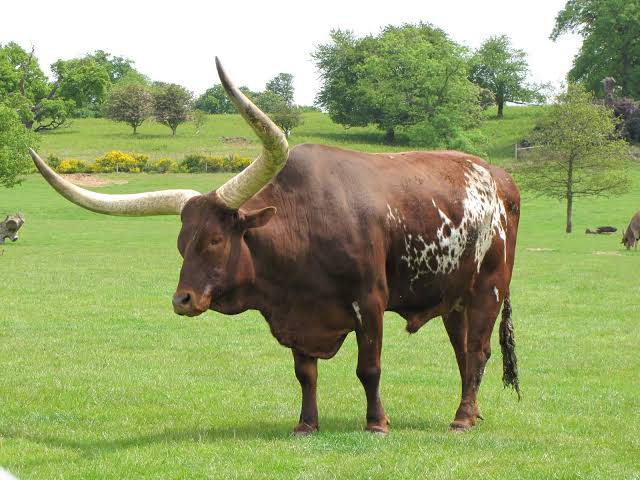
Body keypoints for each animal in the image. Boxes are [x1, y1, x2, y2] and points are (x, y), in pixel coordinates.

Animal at [30, 57, 520, 436]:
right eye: (181, 244)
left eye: (214, 239)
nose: (181, 300)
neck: (303, 228)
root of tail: (500, 177)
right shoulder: (297, 309)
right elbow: (305, 373)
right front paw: (306, 425)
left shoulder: (370, 302)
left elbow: (369, 367)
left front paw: (377, 423)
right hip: (454, 296)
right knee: (463, 351)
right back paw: (472, 413)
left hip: (488, 288)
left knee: (477, 351)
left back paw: (461, 420)